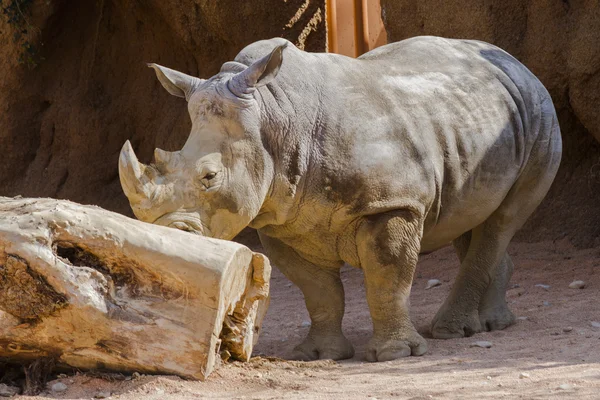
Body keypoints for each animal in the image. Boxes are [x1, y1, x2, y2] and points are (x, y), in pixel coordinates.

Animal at [120, 36, 564, 362]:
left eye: (210, 177)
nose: (167, 239)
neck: (274, 117)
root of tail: (515, 62)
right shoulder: (279, 219)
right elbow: (318, 290)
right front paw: (318, 355)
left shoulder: (392, 204)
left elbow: (387, 278)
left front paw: (394, 355)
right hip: (474, 120)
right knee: (472, 218)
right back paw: (494, 323)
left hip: (542, 116)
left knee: (502, 220)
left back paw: (452, 331)